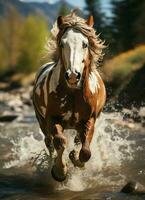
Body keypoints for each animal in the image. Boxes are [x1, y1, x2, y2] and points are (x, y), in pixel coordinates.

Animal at [32, 11, 106, 182]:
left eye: (85, 44)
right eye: (62, 44)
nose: (73, 76)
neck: (72, 94)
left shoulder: (89, 120)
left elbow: (86, 151)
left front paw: (76, 160)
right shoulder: (52, 119)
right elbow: (60, 142)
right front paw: (60, 171)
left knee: (78, 141)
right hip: (41, 120)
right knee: (49, 142)